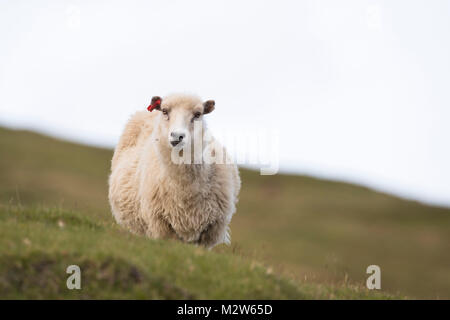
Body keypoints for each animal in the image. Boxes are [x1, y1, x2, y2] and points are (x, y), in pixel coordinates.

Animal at [108, 92, 241, 248]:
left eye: (198, 114)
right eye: (165, 111)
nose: (177, 136)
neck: (185, 190)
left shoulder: (211, 230)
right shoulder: (162, 225)